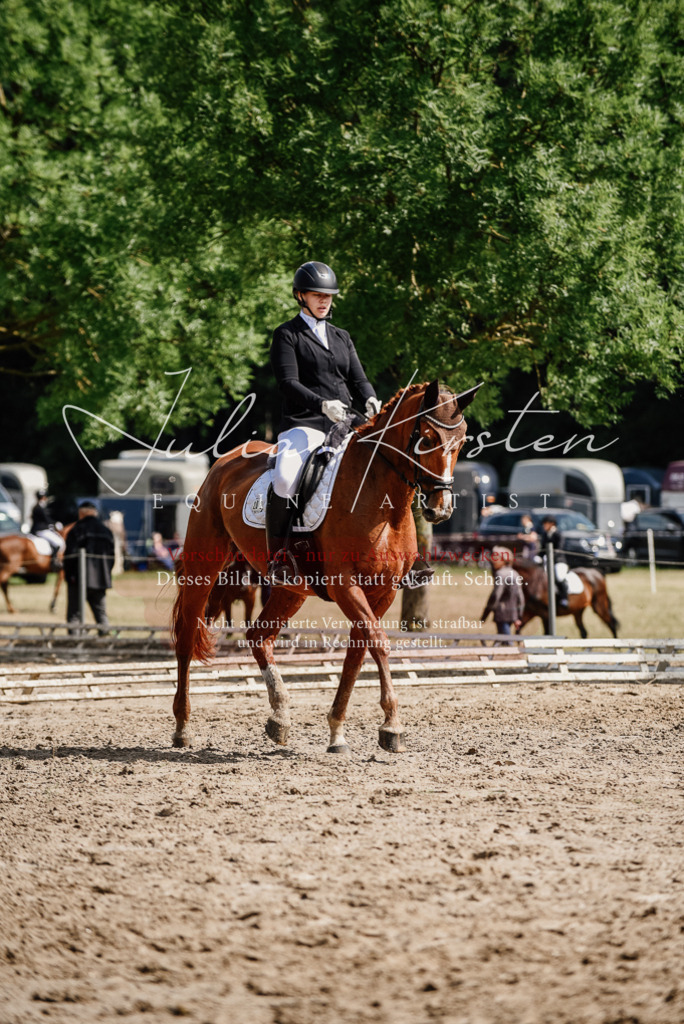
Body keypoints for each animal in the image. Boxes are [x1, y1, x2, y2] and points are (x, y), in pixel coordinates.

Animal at [172, 379, 480, 753]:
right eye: (427, 438)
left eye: (461, 441)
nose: (441, 509)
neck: (381, 500)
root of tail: (224, 463)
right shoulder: (345, 585)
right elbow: (378, 642)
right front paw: (392, 725)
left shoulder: (383, 592)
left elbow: (356, 655)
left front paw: (337, 733)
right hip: (204, 567)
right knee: (187, 636)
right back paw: (183, 726)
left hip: (290, 589)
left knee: (259, 635)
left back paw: (280, 717)